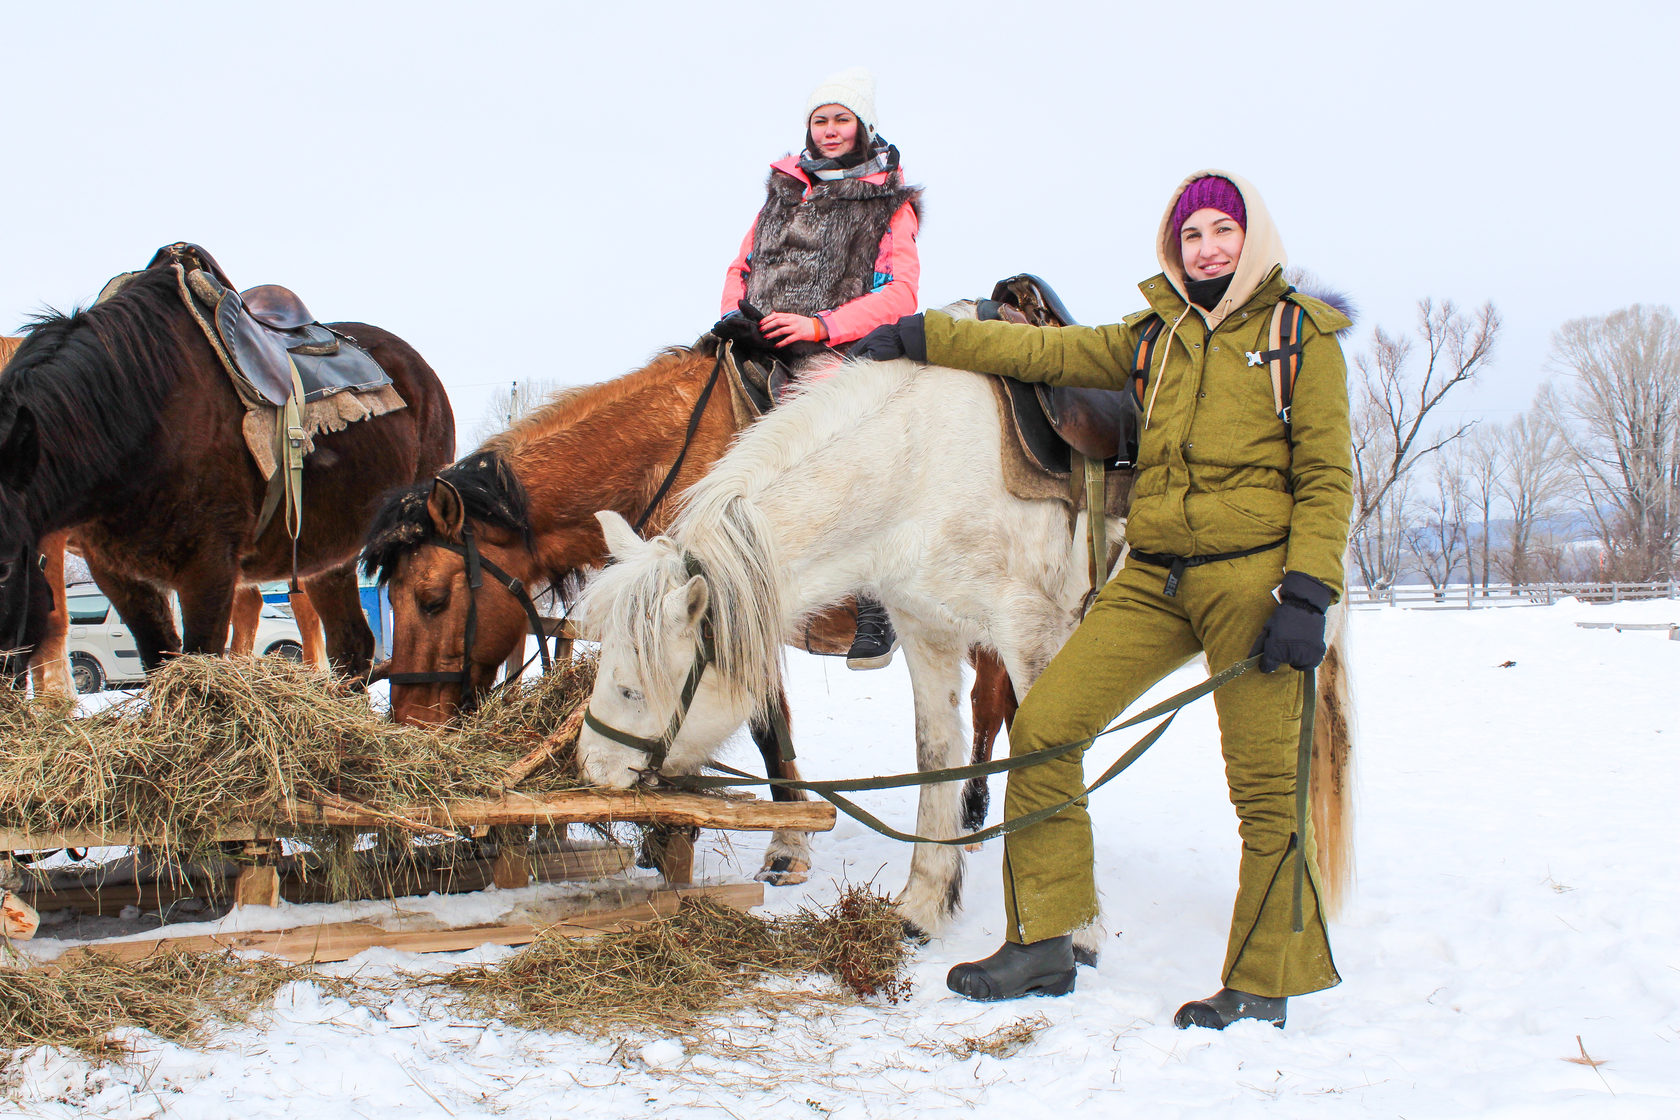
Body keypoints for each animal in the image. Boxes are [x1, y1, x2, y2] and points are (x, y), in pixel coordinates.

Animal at [0, 256, 453, 678]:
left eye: (4, 567)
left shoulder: (209, 567)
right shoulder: (118, 574)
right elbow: (160, 665)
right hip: (329, 554)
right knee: (353, 647)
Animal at [577, 354, 1350, 940]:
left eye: (630, 686)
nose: (590, 768)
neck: (918, 470)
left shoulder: (1031, 636)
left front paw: (1070, 934)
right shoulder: (929, 632)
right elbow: (936, 757)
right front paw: (924, 904)